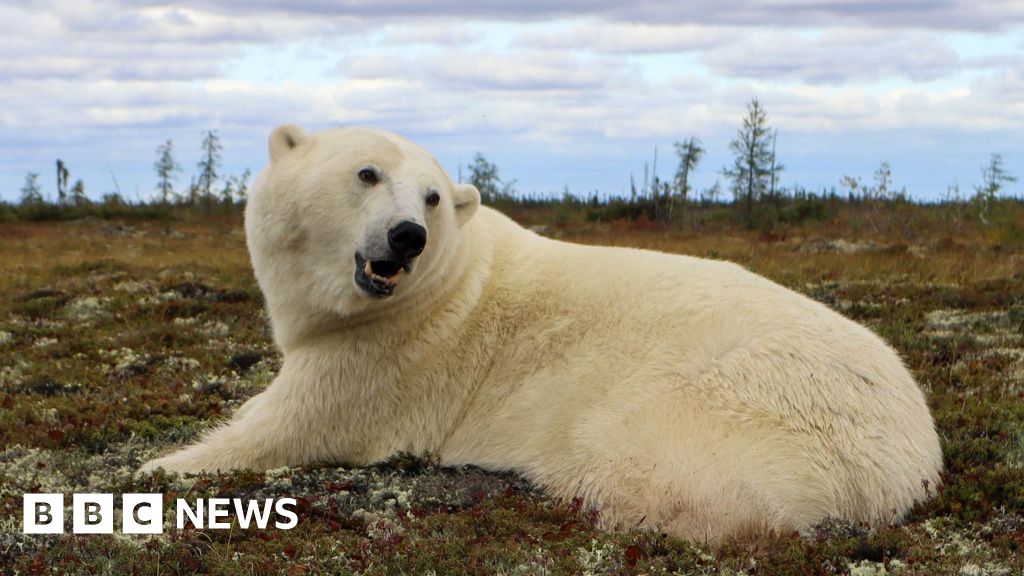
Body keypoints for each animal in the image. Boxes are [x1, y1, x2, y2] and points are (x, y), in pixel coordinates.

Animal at [141, 124, 943, 544]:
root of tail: (911, 463)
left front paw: (160, 465)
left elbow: (288, 423)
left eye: (431, 196)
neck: (449, 280)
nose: (406, 236)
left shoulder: (391, 351)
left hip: (719, 408)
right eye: (366, 173)